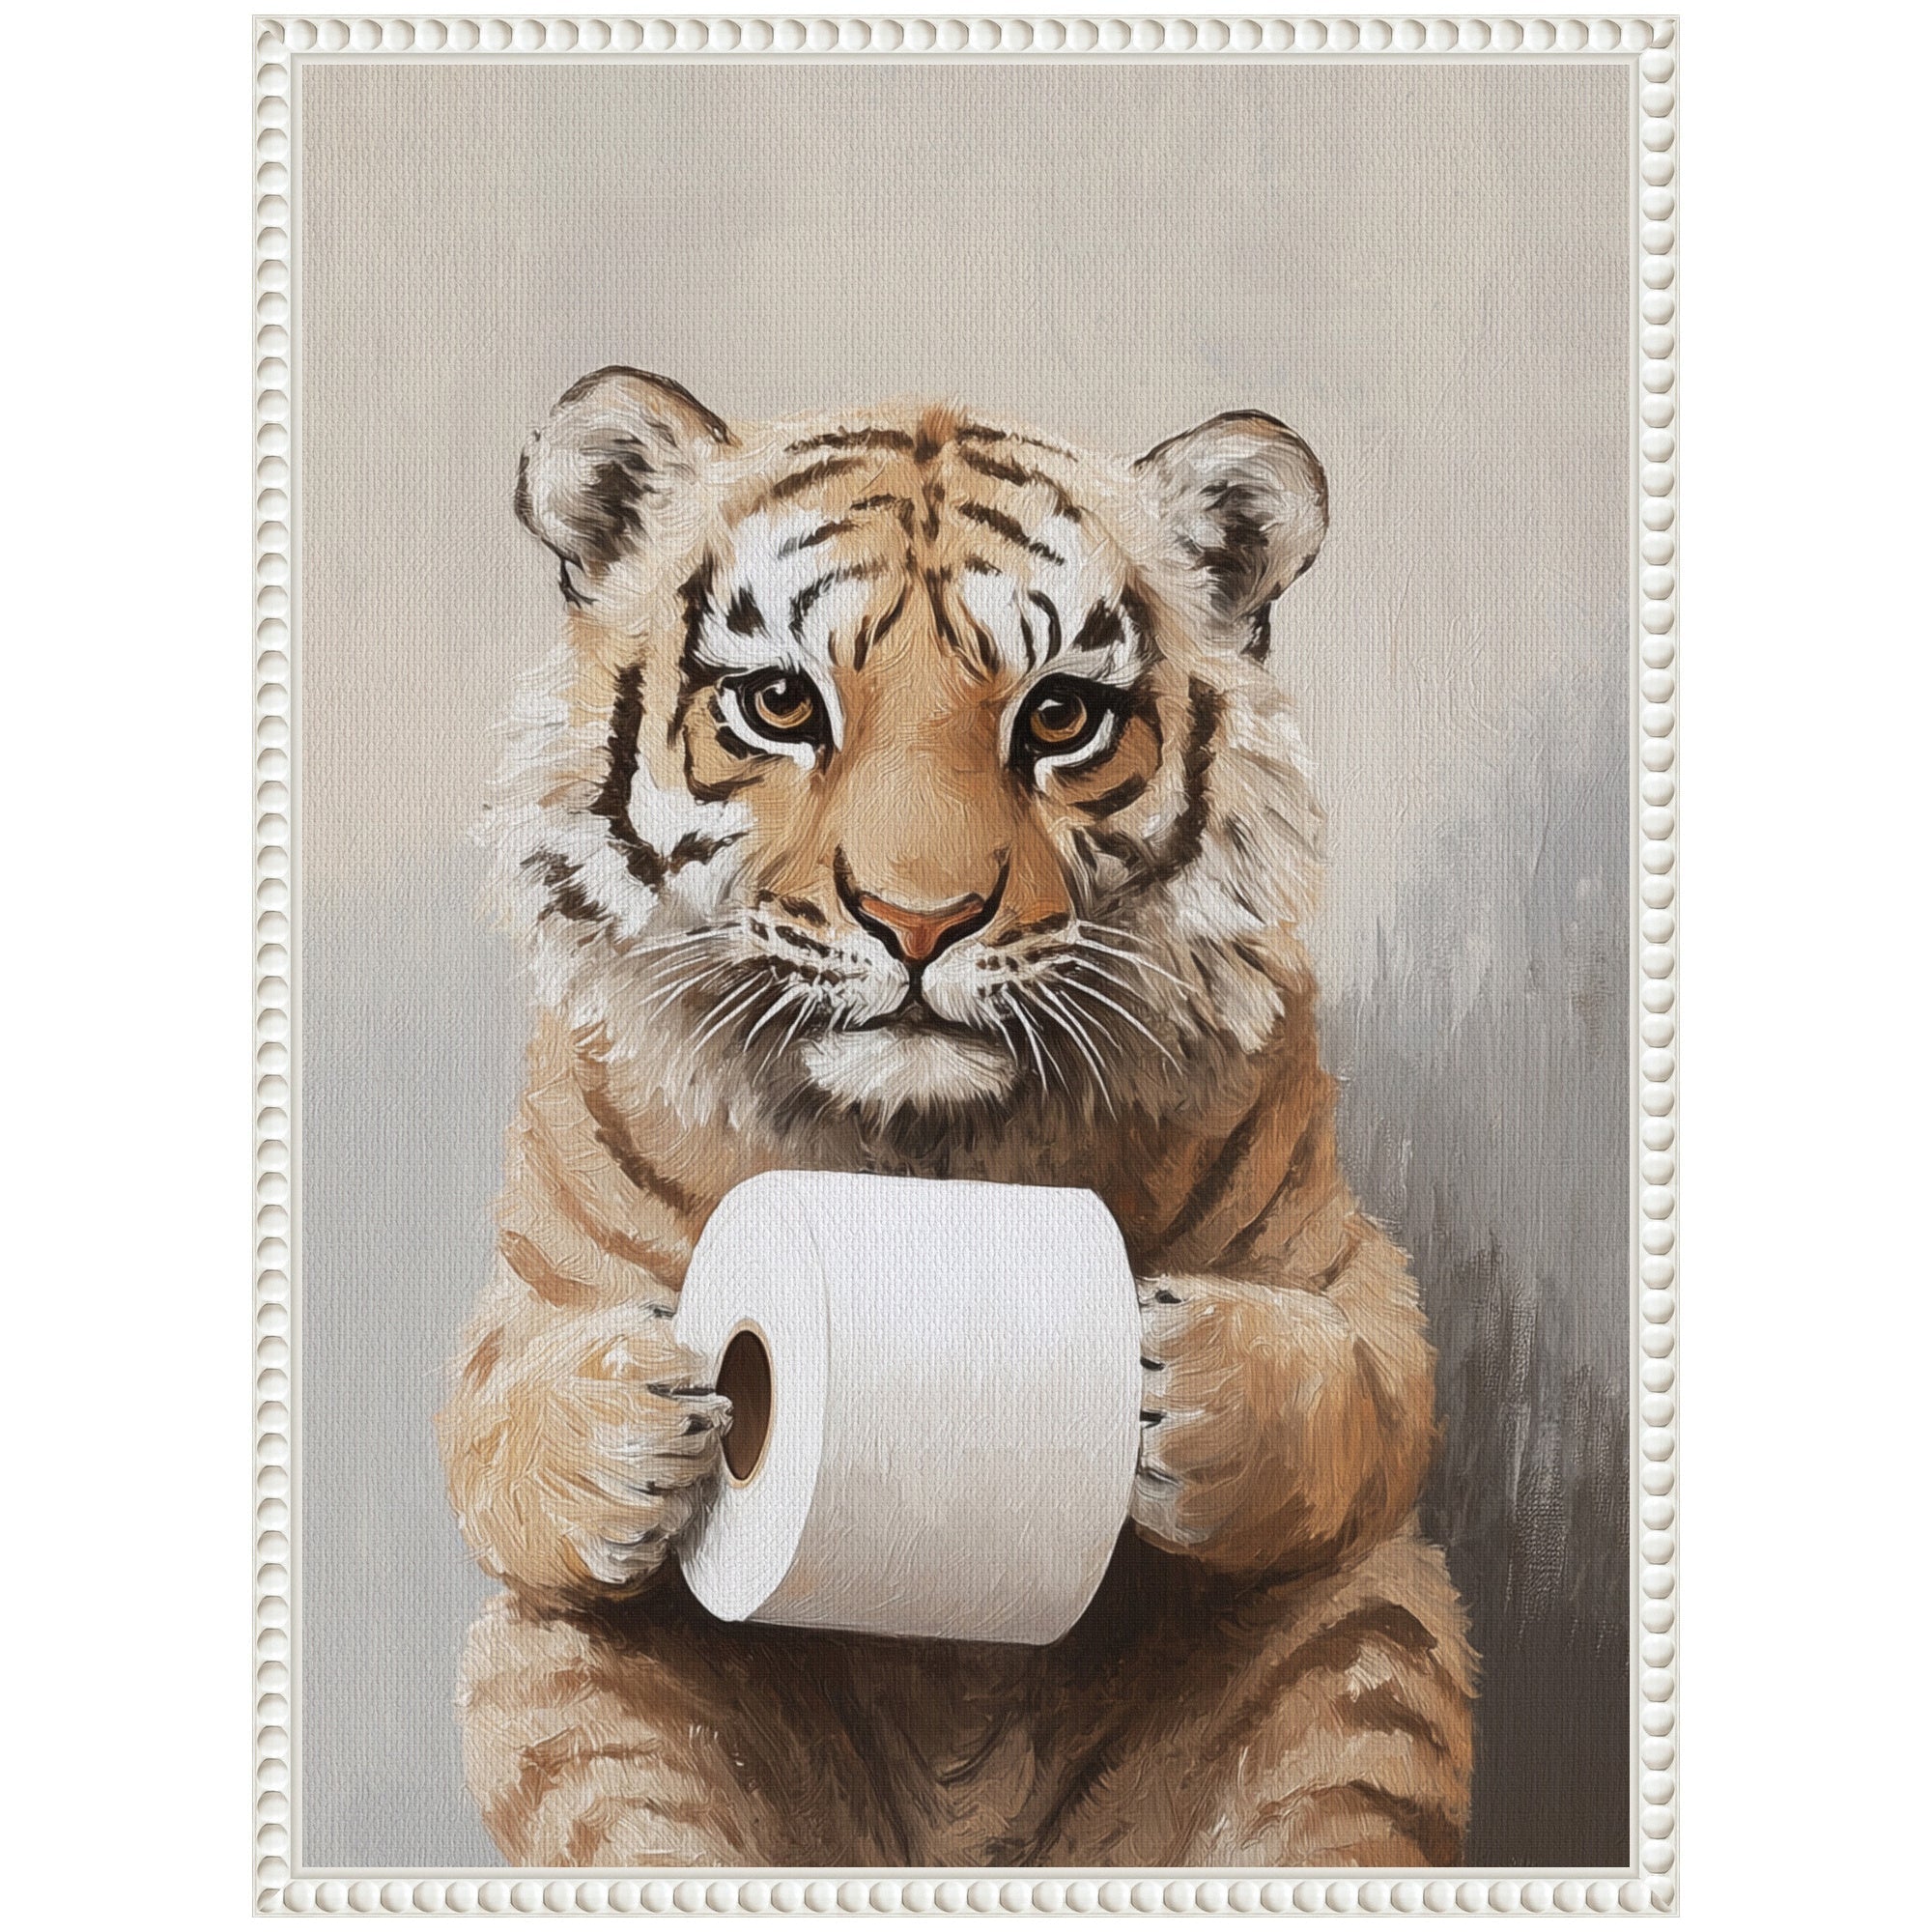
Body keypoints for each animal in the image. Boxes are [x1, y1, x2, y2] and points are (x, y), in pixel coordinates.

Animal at [436, 368, 1475, 1869]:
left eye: (1057, 719)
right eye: (779, 704)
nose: (918, 920)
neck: (920, 1152)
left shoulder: (1338, 1257)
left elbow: (1378, 1384)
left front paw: (1195, 1381)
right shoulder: (537, 1285)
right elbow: (486, 1420)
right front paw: (629, 1420)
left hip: (1362, 1645)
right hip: (582, 1701)